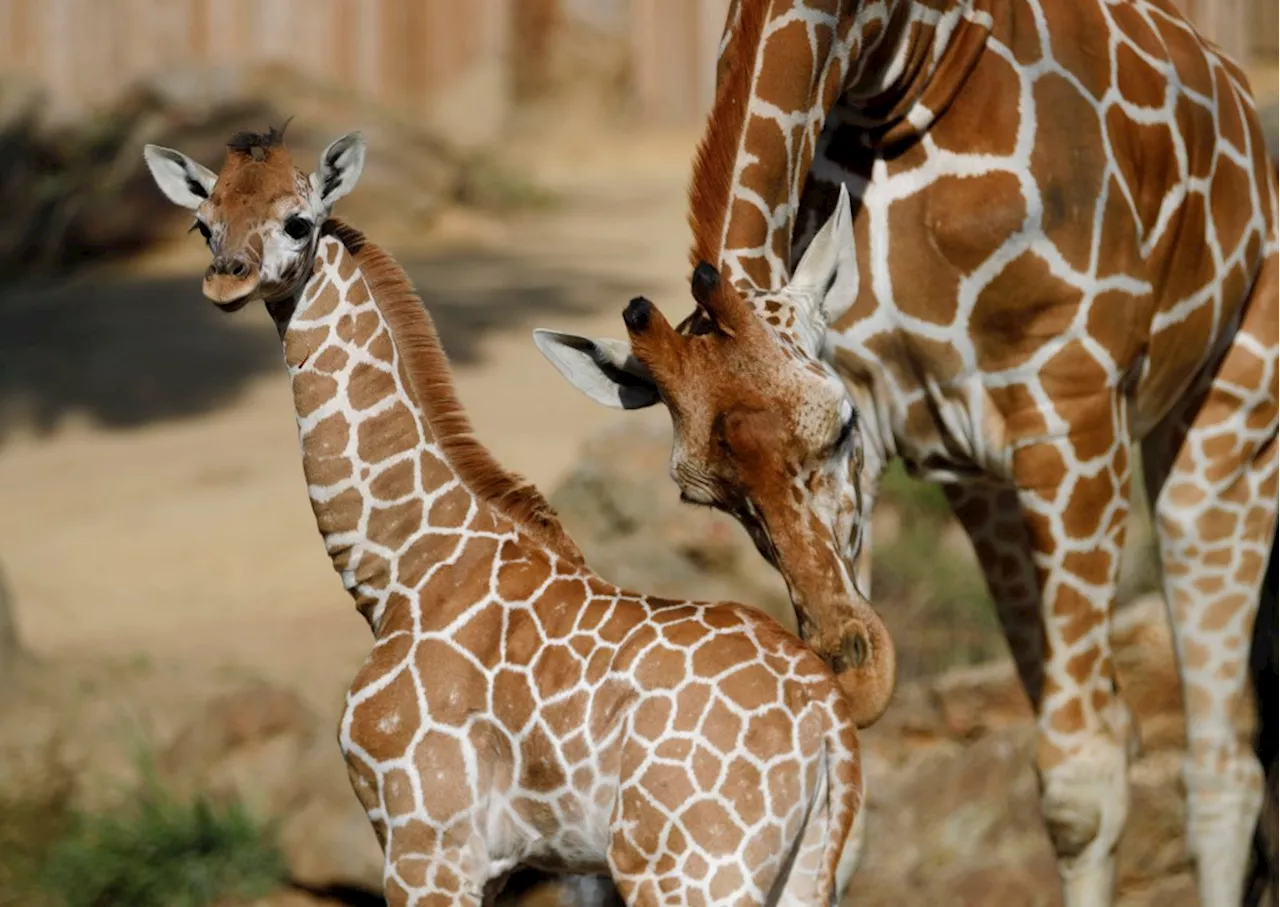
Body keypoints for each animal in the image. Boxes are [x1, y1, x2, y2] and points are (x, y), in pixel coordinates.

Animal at [140, 127, 890, 905]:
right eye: (204, 223)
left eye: (298, 221)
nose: (226, 278)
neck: (402, 570)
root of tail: (829, 725)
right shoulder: (521, 863)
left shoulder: (427, 843)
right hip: (796, 869)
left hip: (690, 869)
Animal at [535, 1, 1280, 905]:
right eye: (700, 493)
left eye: (839, 427)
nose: (854, 666)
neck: (892, 64)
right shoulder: (894, 410)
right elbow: (843, 822)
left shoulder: (1071, 407)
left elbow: (1083, 783)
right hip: (988, 481)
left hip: (1229, 413)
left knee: (1218, 764)